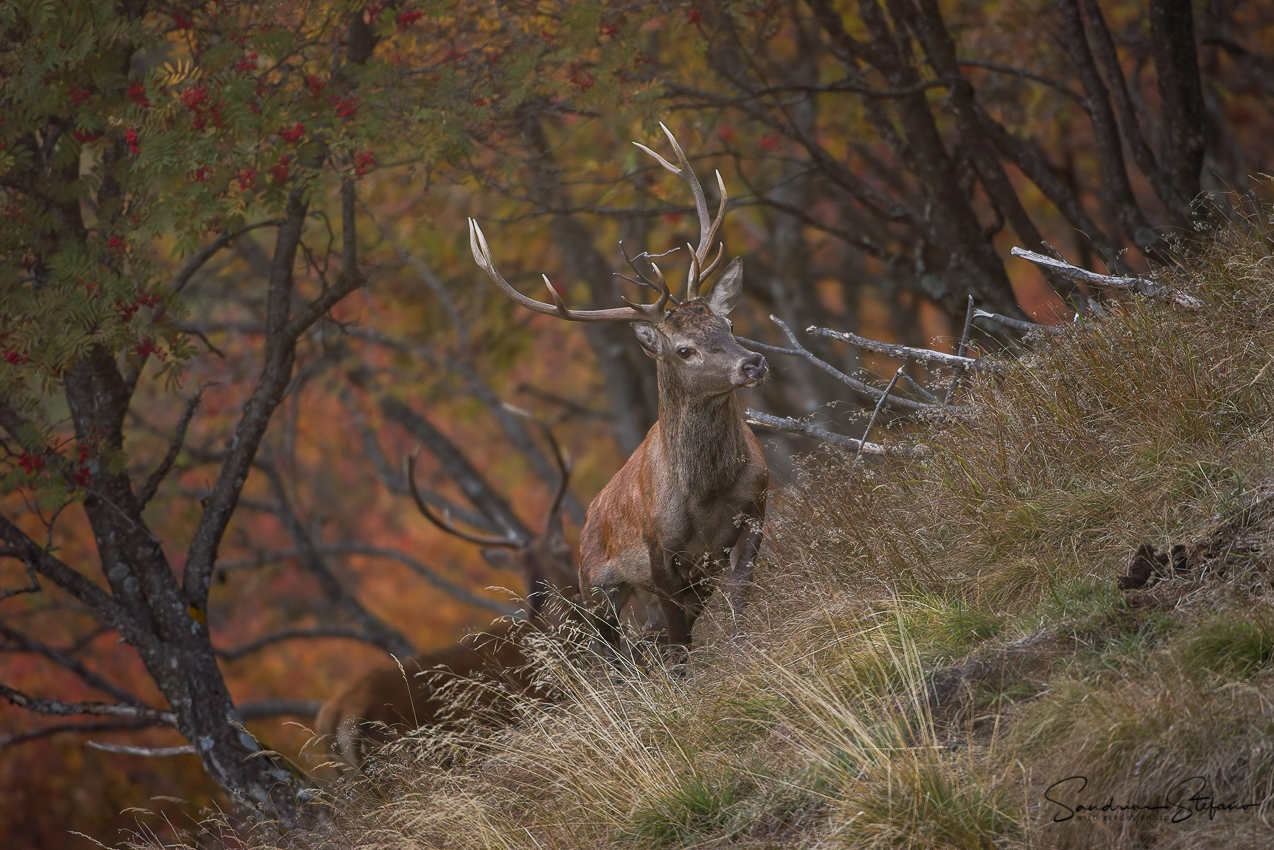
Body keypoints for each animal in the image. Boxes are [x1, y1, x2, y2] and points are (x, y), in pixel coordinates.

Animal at [468, 124, 769, 649]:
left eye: (728, 325)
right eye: (683, 350)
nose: (752, 362)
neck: (709, 494)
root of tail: (586, 517)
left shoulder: (756, 511)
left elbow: (737, 606)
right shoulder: (658, 554)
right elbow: (680, 644)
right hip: (599, 587)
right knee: (614, 647)